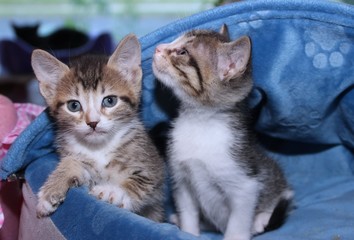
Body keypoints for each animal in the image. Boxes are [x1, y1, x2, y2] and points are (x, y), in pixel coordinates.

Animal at [31, 33, 164, 221]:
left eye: (110, 101)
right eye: (73, 106)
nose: (93, 122)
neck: (100, 148)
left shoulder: (154, 170)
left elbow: (142, 182)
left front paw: (113, 192)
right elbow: (72, 162)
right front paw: (51, 190)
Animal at [152, 25, 294, 239]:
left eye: (183, 52)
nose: (158, 48)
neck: (199, 123)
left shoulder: (245, 185)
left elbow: (237, 224)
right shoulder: (182, 181)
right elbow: (188, 214)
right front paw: (188, 231)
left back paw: (261, 220)